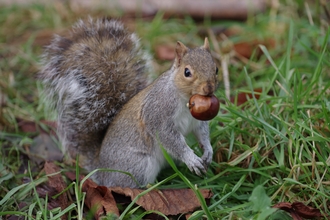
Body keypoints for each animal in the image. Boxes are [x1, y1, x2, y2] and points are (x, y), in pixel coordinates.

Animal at [40, 17, 218, 187]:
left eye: (216, 69)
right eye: (187, 72)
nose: (209, 87)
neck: (185, 99)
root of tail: (101, 170)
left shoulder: (197, 121)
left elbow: (202, 132)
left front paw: (208, 151)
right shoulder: (158, 113)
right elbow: (169, 138)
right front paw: (191, 159)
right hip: (139, 164)